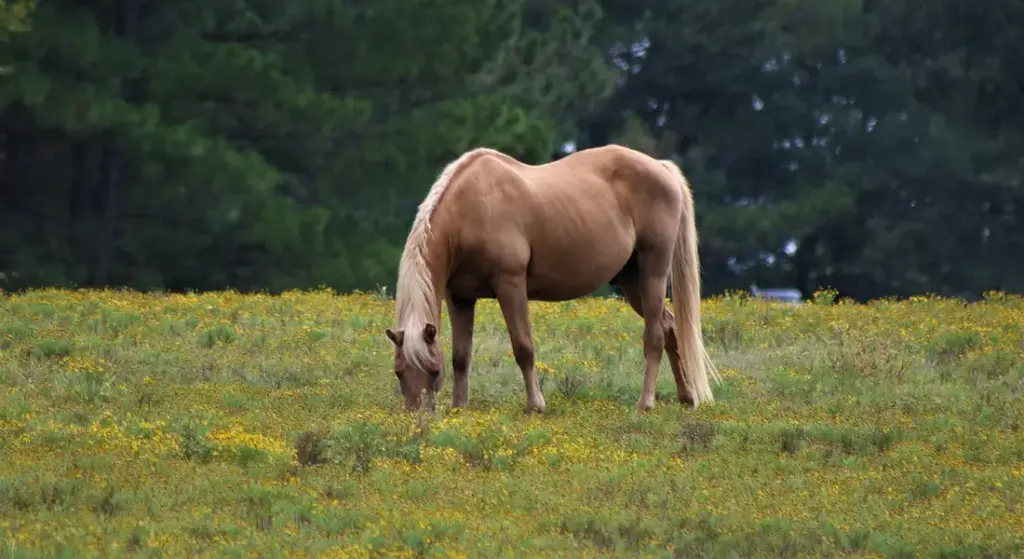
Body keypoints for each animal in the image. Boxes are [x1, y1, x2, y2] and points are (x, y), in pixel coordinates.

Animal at [384, 144, 721, 413]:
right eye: (399, 372)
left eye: (433, 371)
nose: (417, 415)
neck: (471, 208)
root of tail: (662, 168)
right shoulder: (460, 297)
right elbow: (461, 356)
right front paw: (459, 407)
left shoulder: (510, 284)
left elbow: (523, 347)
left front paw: (536, 405)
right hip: (631, 282)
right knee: (670, 328)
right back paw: (687, 398)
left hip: (652, 272)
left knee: (654, 336)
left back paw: (645, 403)